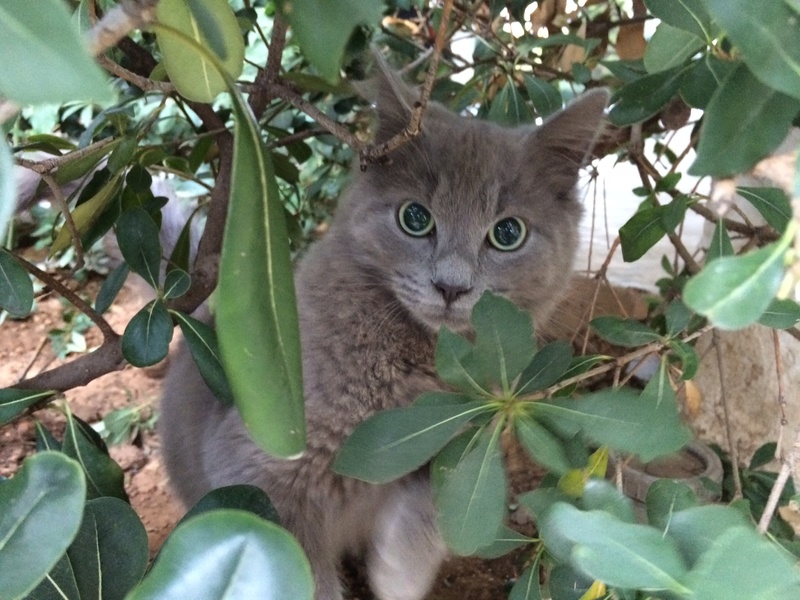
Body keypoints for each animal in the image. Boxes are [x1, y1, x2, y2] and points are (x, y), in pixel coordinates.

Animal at [161, 67, 608, 600]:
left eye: (508, 234)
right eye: (414, 219)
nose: (451, 286)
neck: (419, 363)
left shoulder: (462, 434)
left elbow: (435, 503)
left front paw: (399, 574)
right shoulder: (258, 471)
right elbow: (298, 572)